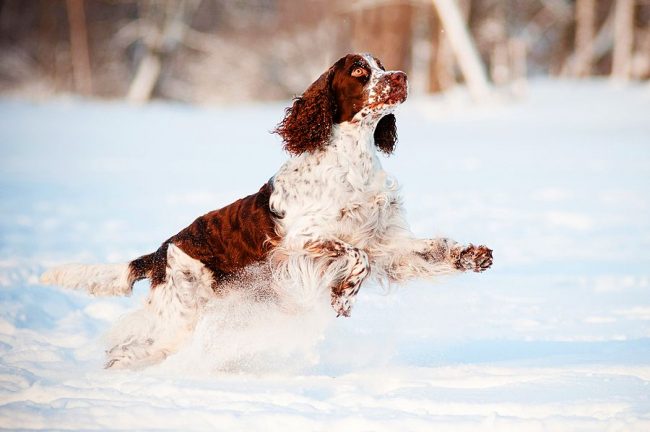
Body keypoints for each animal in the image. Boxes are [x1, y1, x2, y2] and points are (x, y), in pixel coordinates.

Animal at [41, 53, 492, 368]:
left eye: (382, 65)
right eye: (359, 71)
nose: (400, 76)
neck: (353, 161)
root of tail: (159, 253)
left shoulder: (385, 241)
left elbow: (424, 250)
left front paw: (471, 255)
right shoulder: (300, 245)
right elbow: (355, 257)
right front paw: (342, 297)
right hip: (181, 312)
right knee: (131, 347)